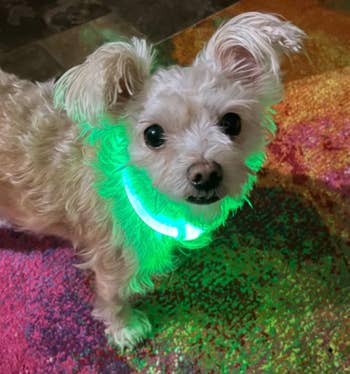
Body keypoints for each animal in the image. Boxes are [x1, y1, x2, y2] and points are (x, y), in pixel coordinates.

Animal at [0, 13, 304, 350]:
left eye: (232, 122)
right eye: (153, 134)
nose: (206, 174)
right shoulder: (111, 257)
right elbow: (113, 297)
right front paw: (125, 328)